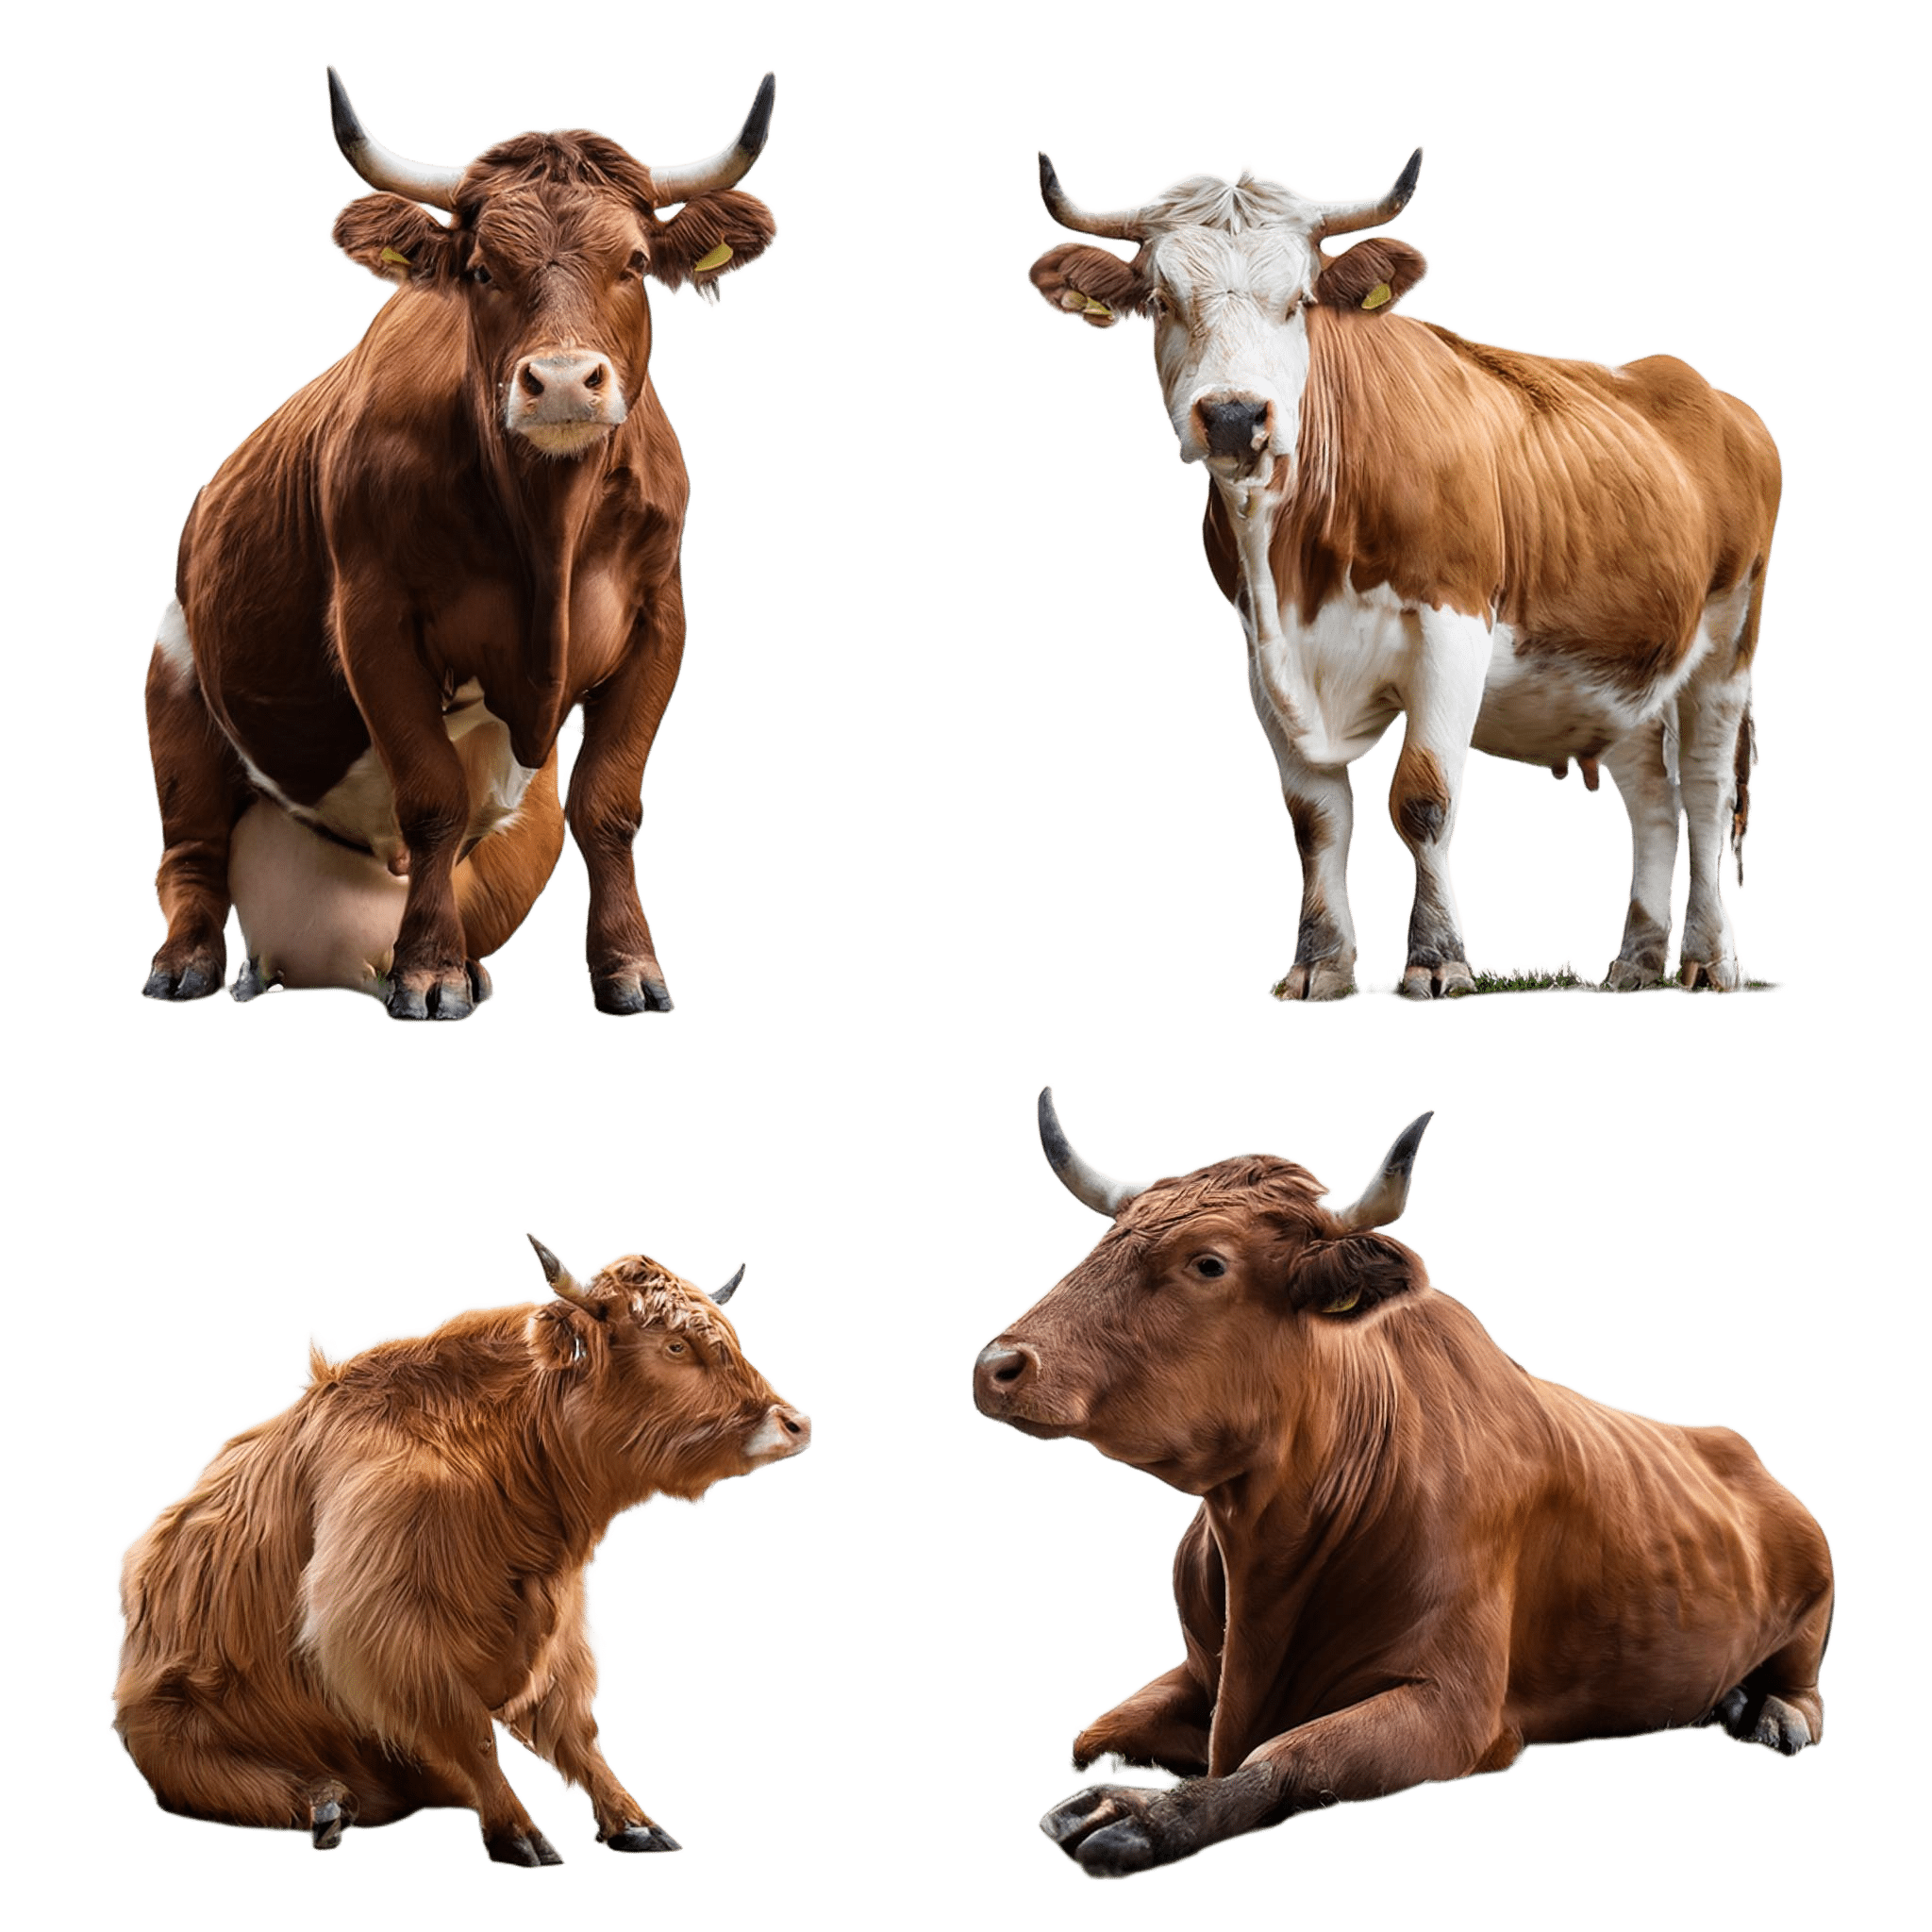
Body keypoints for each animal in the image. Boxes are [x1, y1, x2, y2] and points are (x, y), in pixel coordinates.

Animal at [115, 1236, 811, 1864]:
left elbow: (576, 1731)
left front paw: (635, 1823)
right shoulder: (390, 1625)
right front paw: (521, 1835)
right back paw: (324, 1804)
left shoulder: (561, 1627)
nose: (795, 1424)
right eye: (674, 1345)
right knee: (229, 1777)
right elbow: (473, 1733)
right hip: (173, 1731)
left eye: (728, 1336)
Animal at [141, 67, 782, 1020]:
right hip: (174, 683)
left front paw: (630, 968)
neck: (546, 533)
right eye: (482, 269)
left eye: (634, 262)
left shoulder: (659, 621)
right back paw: (186, 966)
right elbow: (431, 796)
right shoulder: (373, 621)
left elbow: (609, 803)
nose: (564, 381)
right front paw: (430, 973)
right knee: (191, 852)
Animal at [973, 1089, 1832, 1880]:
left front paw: (1138, 1816)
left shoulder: (1456, 1709)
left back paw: (1771, 1712)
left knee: (1807, 1686)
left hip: (1816, 1600)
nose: (998, 1365)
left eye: (1207, 1263)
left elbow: (1284, 1759)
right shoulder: (1198, 1672)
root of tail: (1734, 1445)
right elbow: (1094, 1732)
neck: (1264, 1549)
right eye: (1104, 1244)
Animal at [1029, 153, 1780, 998]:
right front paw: (1320, 963)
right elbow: (1315, 818)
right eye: (1161, 301)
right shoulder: (1263, 656)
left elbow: (1423, 799)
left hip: (1728, 643)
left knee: (1707, 792)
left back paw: (1709, 959)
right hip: (1619, 663)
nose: (1233, 417)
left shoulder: (1455, 630)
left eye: (1299, 302)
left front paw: (1438, 957)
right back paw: (1639, 960)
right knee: (1652, 797)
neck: (1295, 569)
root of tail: (1704, 391)